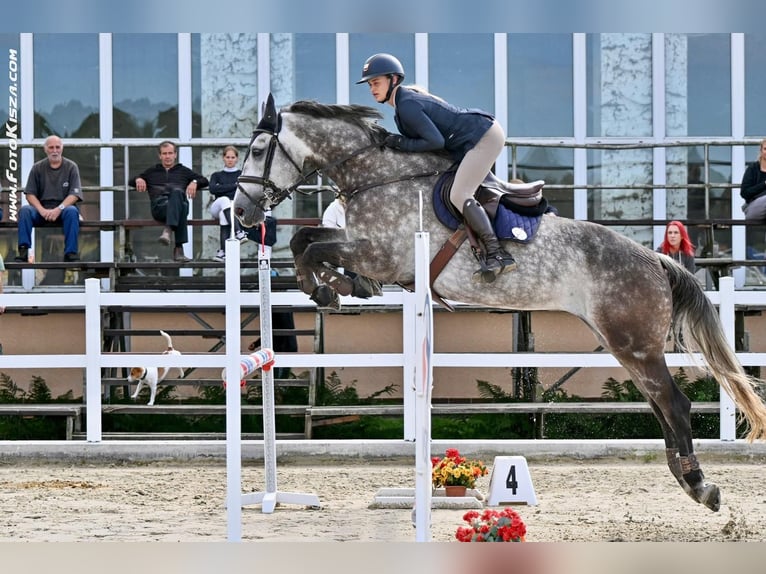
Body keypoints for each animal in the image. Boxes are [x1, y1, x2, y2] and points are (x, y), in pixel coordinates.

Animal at [234, 93, 766, 512]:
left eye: (258, 150)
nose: (240, 213)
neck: (375, 174)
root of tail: (655, 259)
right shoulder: (366, 247)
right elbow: (306, 239)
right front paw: (338, 287)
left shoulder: (381, 253)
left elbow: (312, 246)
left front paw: (330, 288)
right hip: (625, 345)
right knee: (660, 404)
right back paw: (685, 477)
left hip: (634, 343)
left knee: (674, 402)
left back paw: (700, 485)